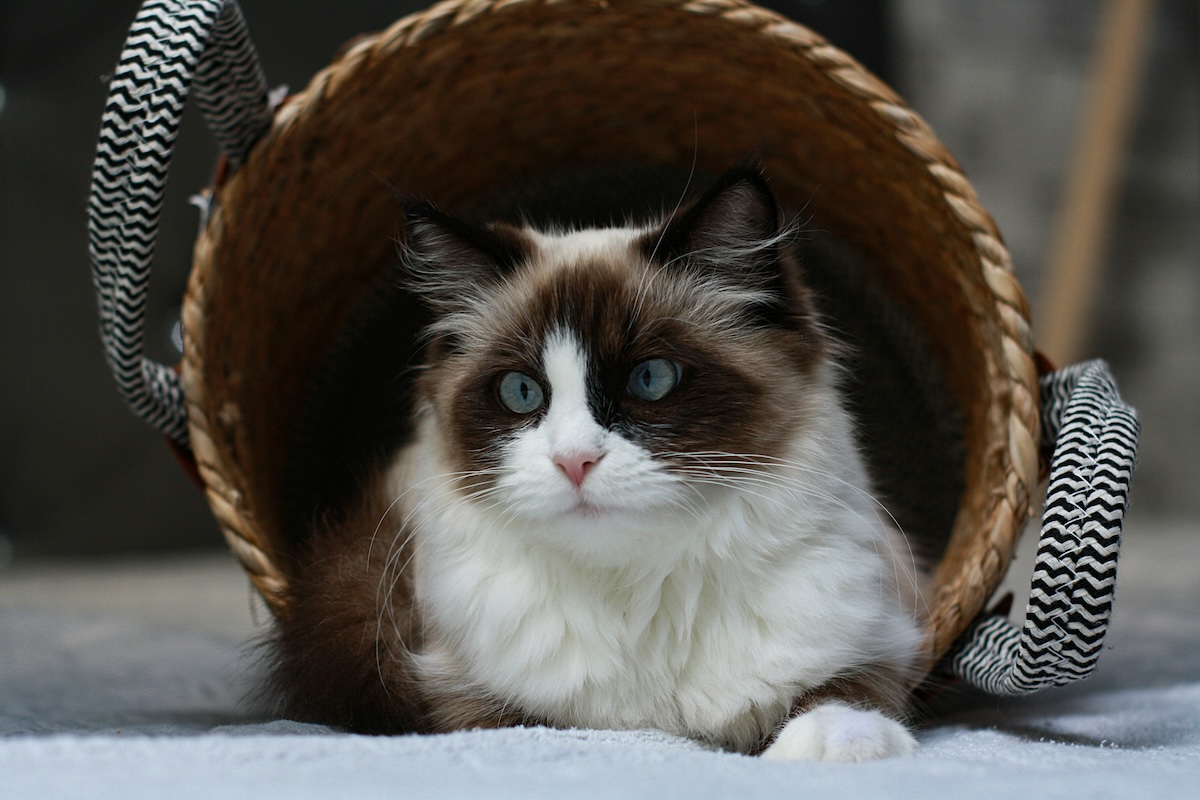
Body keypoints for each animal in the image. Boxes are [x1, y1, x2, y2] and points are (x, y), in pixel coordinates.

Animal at [272, 164, 926, 762]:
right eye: (521, 393)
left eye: (651, 379)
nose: (574, 460)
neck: (639, 596)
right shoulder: (459, 687)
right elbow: (508, 727)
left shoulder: (882, 641)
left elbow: (846, 694)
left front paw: (837, 746)